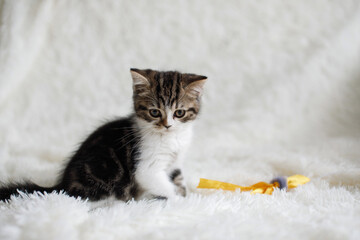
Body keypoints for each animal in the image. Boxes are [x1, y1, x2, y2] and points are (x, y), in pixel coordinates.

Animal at [0, 68, 207, 202]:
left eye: (179, 113)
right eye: (154, 112)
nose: (167, 125)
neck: (172, 138)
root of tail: (62, 185)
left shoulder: (176, 162)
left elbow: (178, 180)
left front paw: (186, 194)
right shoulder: (147, 168)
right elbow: (164, 186)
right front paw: (180, 202)